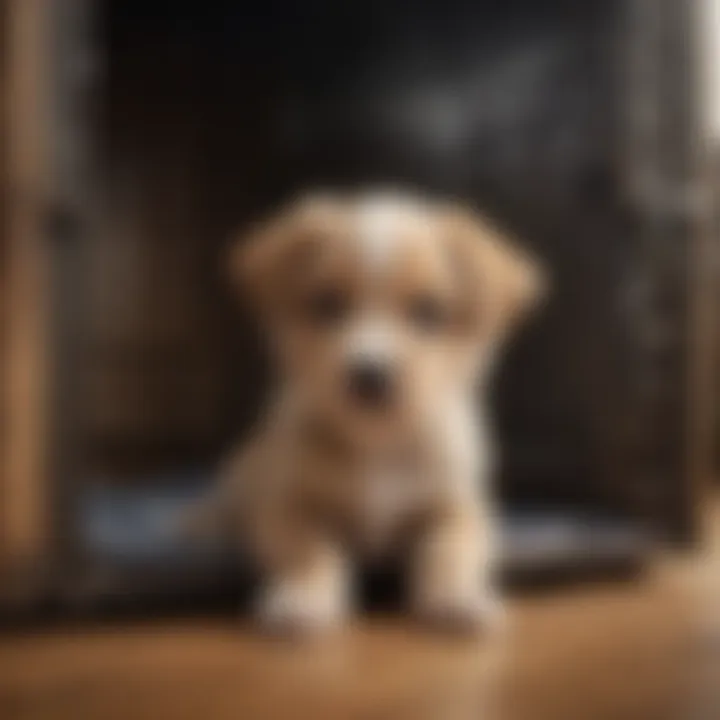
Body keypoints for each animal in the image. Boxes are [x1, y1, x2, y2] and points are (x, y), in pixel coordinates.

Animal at [211, 190, 544, 636]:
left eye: (428, 311)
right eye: (327, 304)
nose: (370, 375)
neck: (379, 447)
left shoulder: (458, 508)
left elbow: (451, 551)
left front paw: (457, 596)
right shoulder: (287, 508)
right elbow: (309, 553)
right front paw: (303, 597)